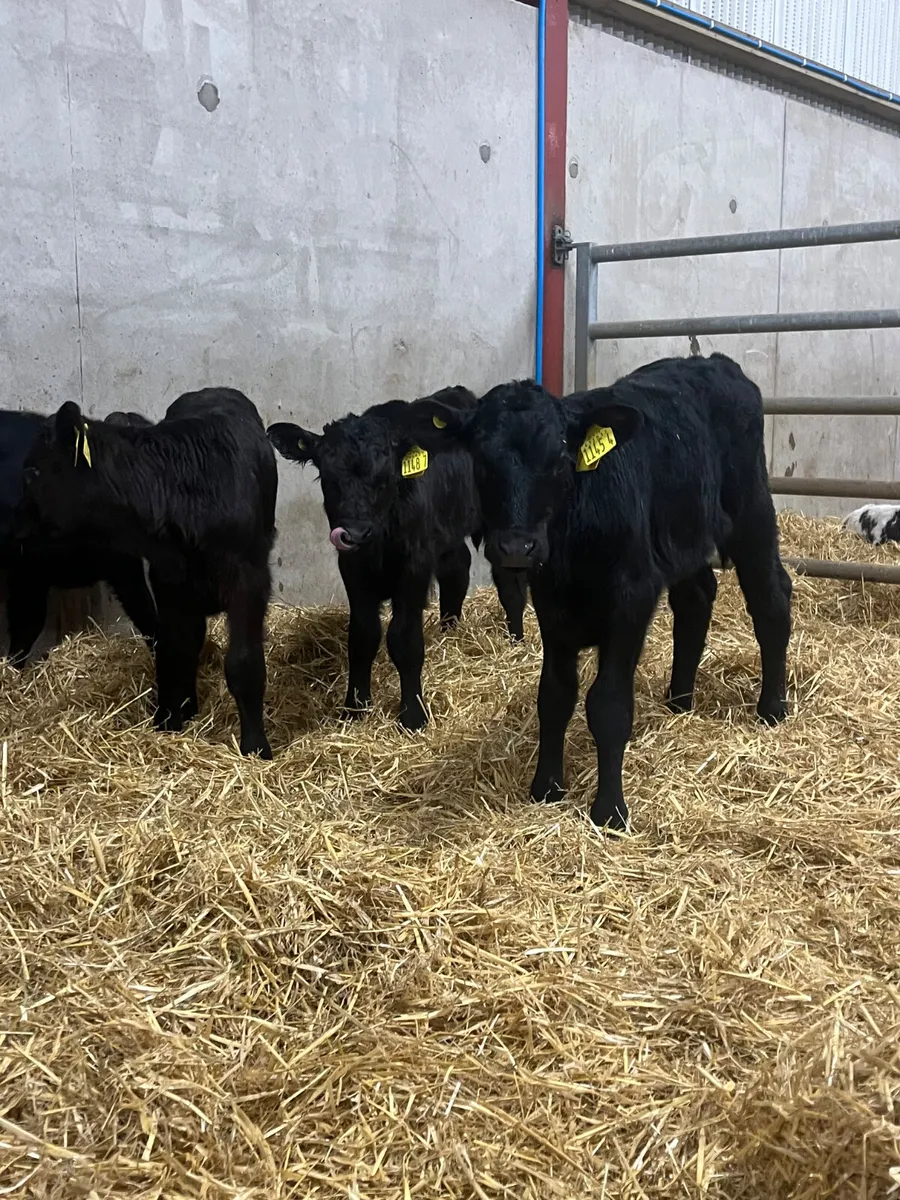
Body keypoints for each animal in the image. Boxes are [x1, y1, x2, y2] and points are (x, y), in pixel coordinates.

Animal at [267, 386, 528, 732]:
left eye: (386, 476)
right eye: (328, 477)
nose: (355, 533)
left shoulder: (413, 568)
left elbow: (404, 639)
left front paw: (413, 715)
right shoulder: (353, 570)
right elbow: (362, 637)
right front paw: (354, 708)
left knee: (509, 581)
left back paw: (516, 642)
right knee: (457, 569)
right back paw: (449, 630)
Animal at [405, 354, 793, 830]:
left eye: (559, 460)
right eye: (481, 461)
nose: (516, 546)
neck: (573, 547)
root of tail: (709, 361)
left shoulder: (631, 598)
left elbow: (608, 705)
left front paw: (610, 811)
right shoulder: (551, 603)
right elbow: (554, 695)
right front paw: (546, 788)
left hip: (751, 511)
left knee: (771, 598)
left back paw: (771, 707)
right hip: (681, 536)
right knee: (697, 598)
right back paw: (679, 701)